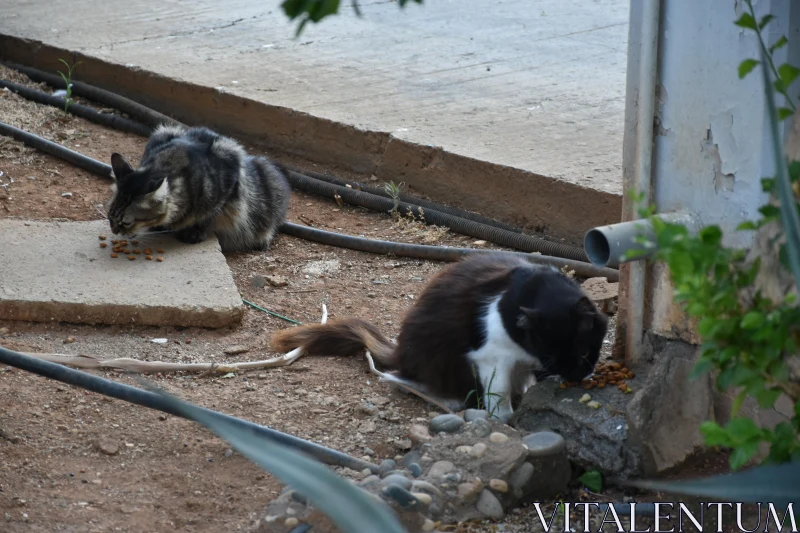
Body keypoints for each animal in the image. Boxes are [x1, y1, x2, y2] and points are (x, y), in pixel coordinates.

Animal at [104, 123, 290, 252]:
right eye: (109, 217)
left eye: (126, 223)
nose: (114, 230)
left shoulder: (228, 178)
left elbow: (209, 216)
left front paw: (195, 232)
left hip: (268, 178)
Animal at [268, 254, 608, 420]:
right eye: (554, 357)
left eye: (583, 353)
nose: (577, 375)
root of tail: (400, 350)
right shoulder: (492, 355)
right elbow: (498, 393)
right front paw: (505, 419)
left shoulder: (524, 358)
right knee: (405, 377)